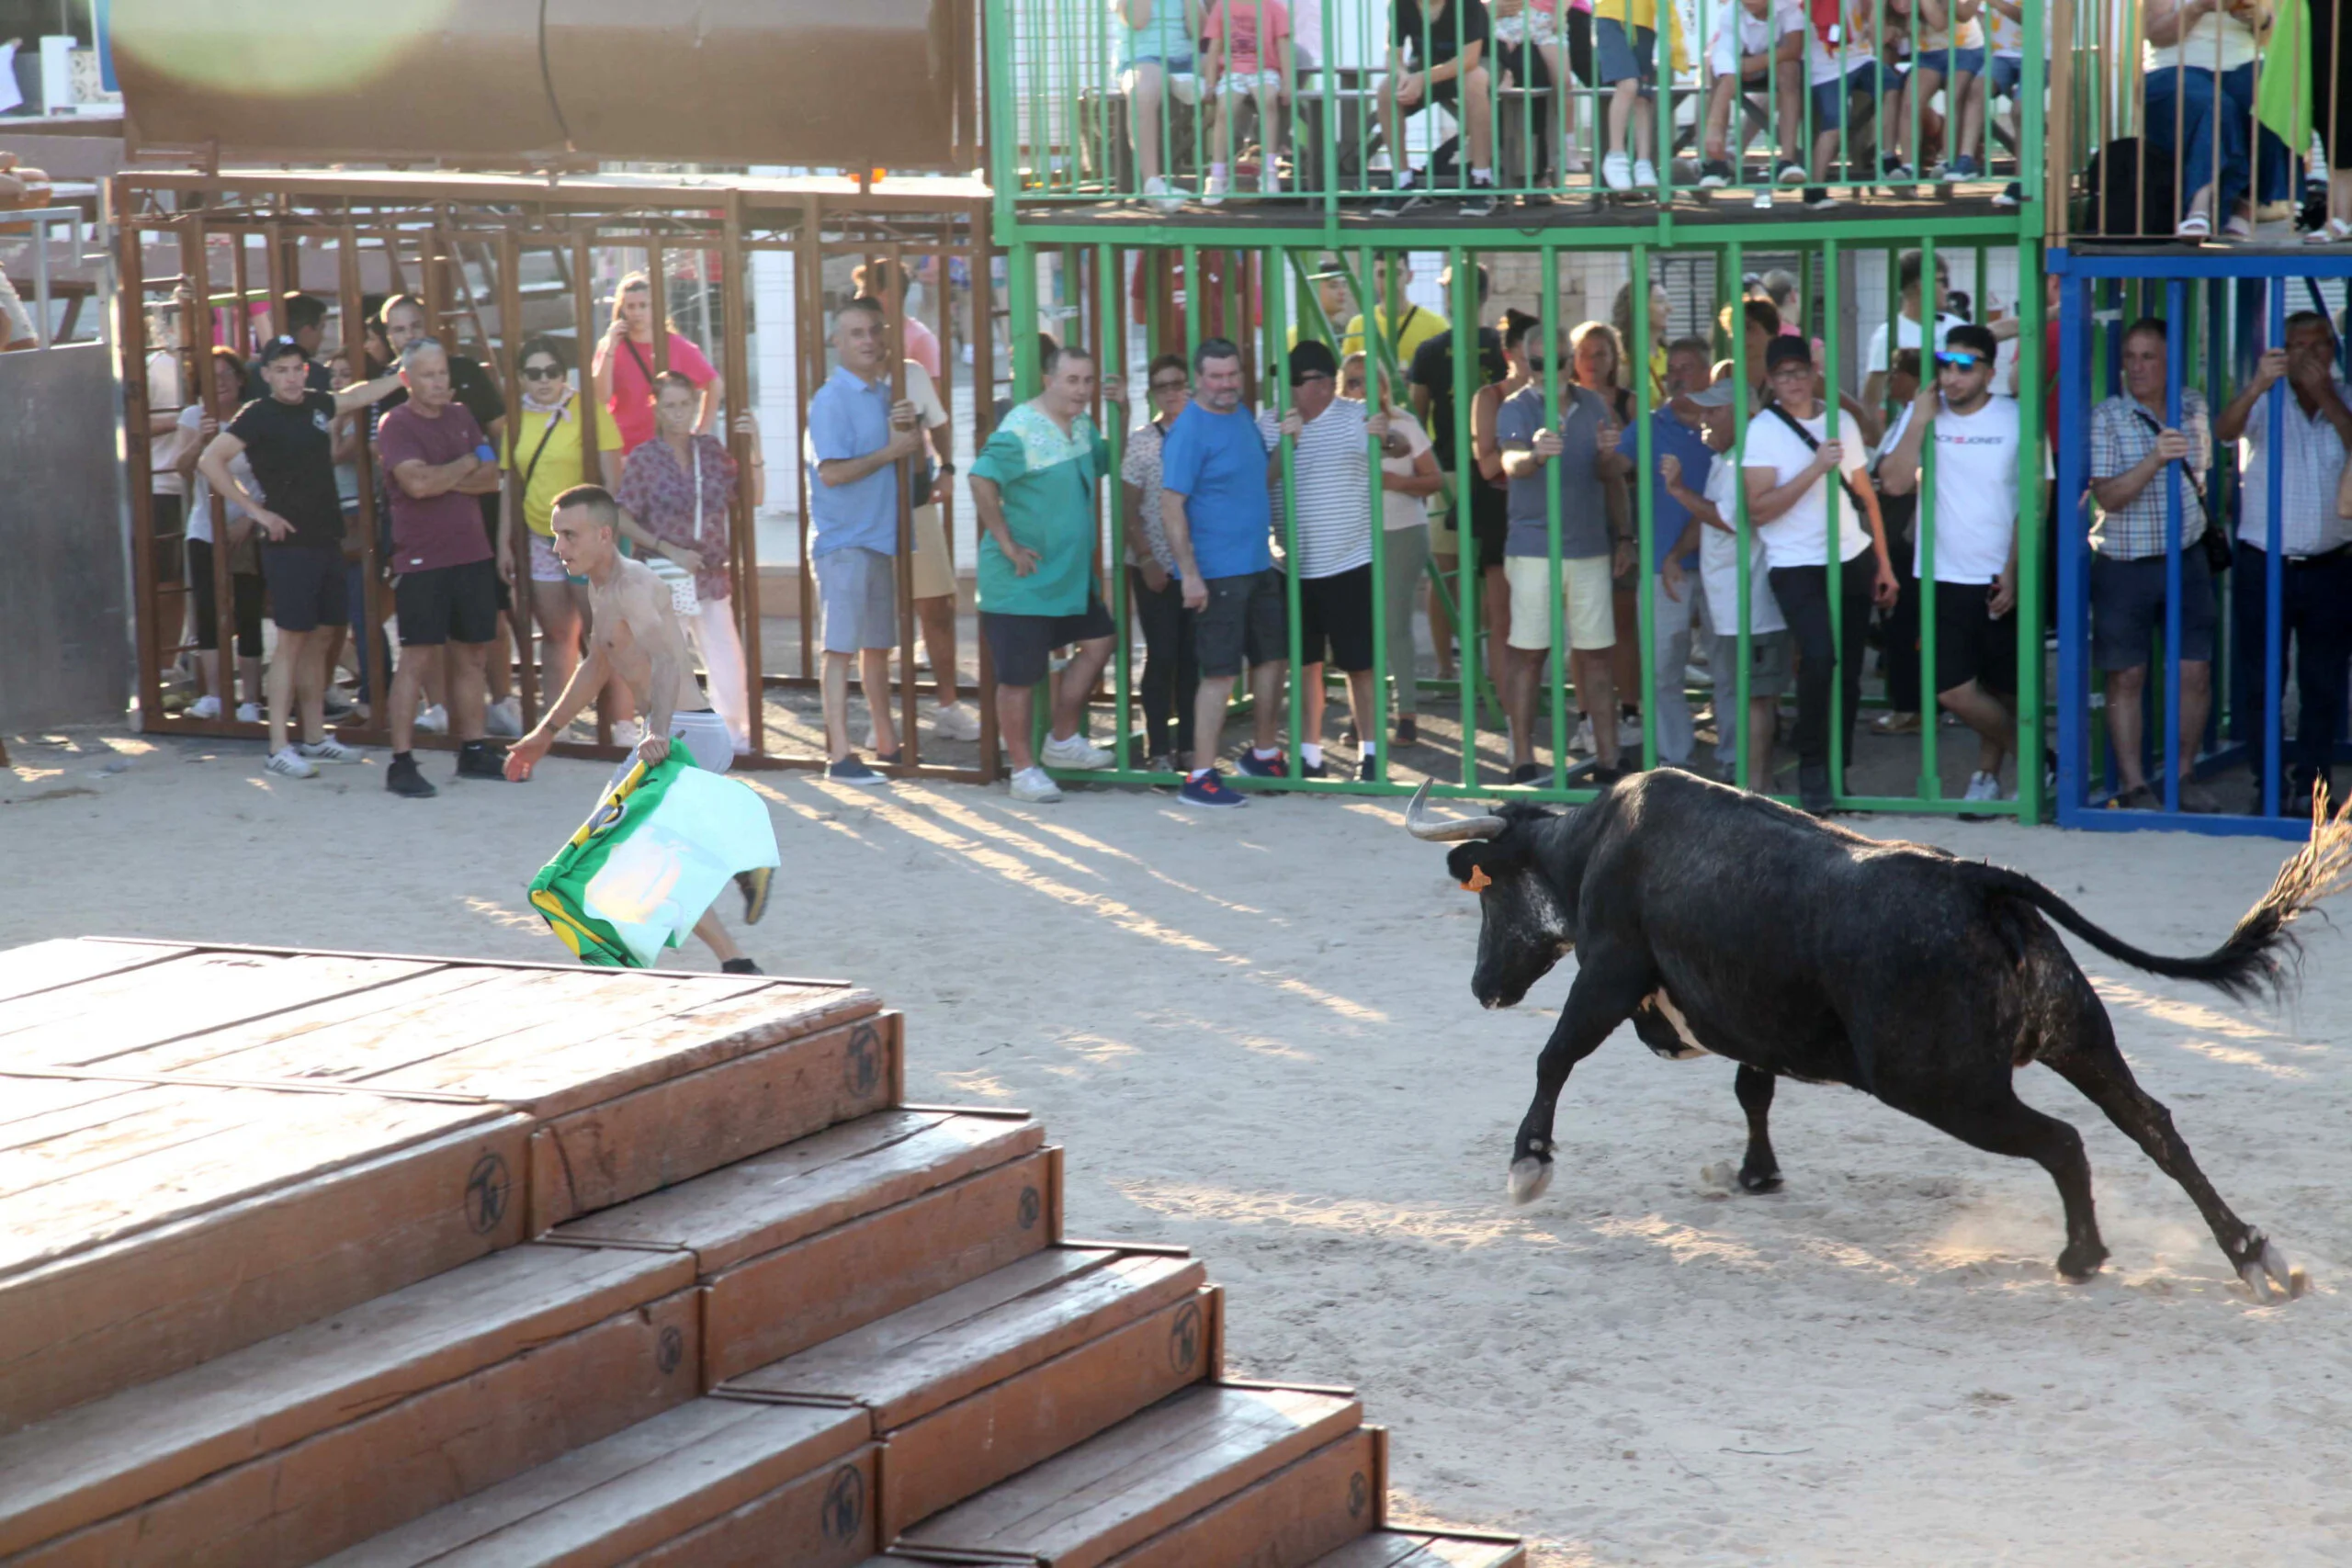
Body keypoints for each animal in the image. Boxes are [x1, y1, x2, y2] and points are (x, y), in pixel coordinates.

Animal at [1401, 771, 2342, 1297]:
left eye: (1488, 893)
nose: (1483, 987)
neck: (1598, 840)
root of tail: (1979, 881)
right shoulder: (1747, 1015)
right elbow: (1752, 1086)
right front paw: (1756, 1173)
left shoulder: (1609, 971)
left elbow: (1555, 1053)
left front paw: (1528, 1164)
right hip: (2077, 1034)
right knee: (2154, 1126)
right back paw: (2252, 1253)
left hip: (1944, 1086)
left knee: (2064, 1142)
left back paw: (2082, 1254)